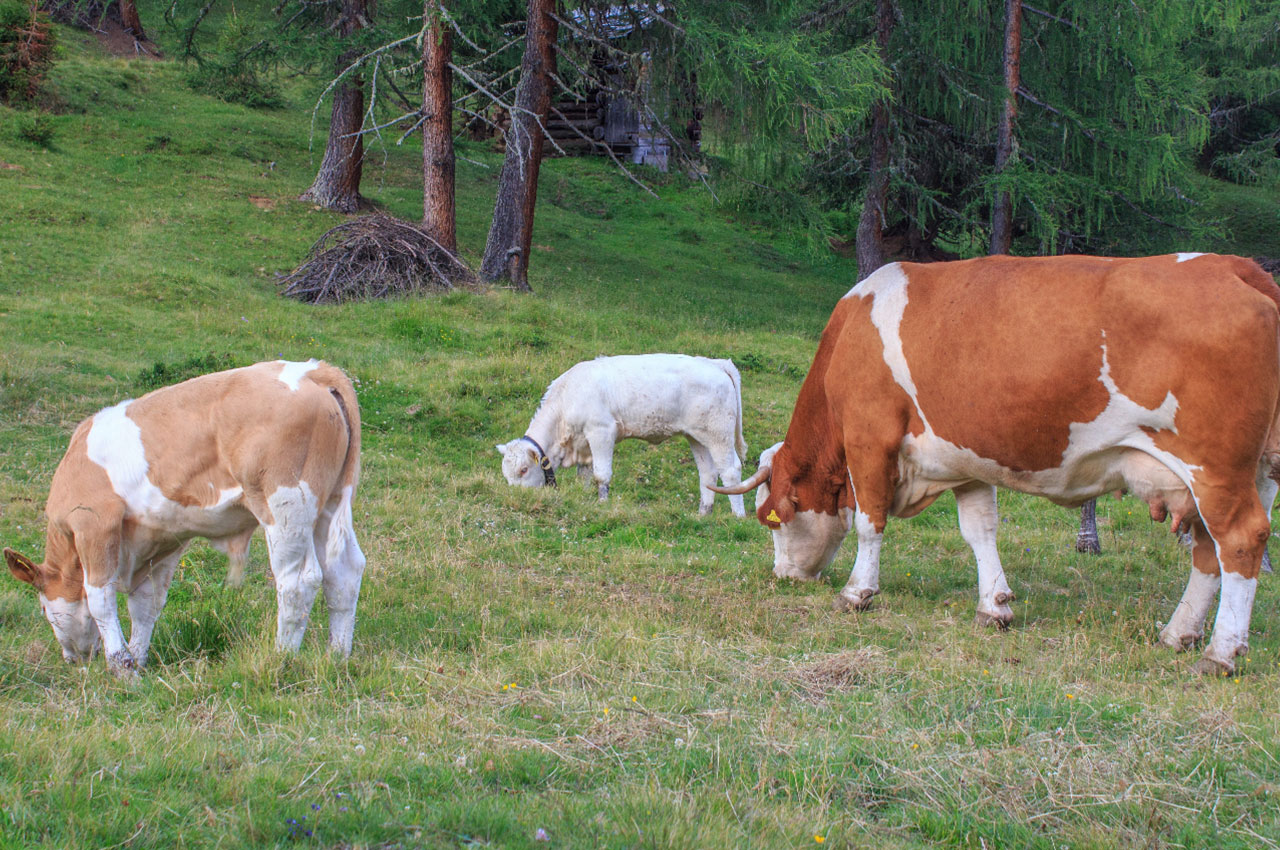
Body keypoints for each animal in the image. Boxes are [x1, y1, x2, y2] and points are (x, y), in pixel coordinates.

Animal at [6, 360, 366, 675]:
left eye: (43, 609)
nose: (72, 659)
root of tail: (313, 370)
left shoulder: (94, 524)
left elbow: (100, 599)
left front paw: (120, 667)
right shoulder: (162, 539)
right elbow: (146, 605)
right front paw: (137, 662)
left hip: (285, 504)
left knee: (297, 582)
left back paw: (281, 658)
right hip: (330, 502)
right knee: (343, 572)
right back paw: (337, 656)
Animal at [494, 353, 747, 514]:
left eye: (524, 469)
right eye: (506, 475)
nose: (518, 500)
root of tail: (715, 363)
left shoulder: (602, 431)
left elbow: (601, 474)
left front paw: (603, 503)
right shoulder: (584, 444)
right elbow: (584, 476)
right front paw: (583, 498)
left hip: (718, 434)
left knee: (730, 471)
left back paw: (738, 516)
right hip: (697, 436)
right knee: (708, 473)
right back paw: (704, 514)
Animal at [716, 256, 1280, 675]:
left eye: (773, 520)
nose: (783, 575)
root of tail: (1237, 267)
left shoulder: (869, 439)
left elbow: (869, 523)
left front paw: (857, 593)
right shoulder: (967, 461)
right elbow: (980, 531)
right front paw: (994, 605)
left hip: (1214, 469)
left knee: (1239, 539)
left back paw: (1220, 653)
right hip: (1254, 471)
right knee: (1209, 552)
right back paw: (1178, 633)